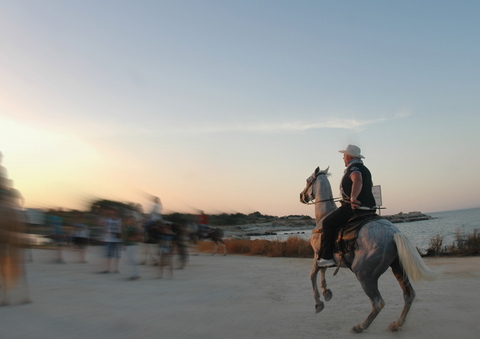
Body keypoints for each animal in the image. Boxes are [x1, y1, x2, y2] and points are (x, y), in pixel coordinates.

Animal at [300, 167, 438, 334]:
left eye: (308, 180)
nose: (302, 196)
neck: (324, 216)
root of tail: (393, 233)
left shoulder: (317, 255)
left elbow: (313, 275)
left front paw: (318, 302)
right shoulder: (324, 257)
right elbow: (322, 271)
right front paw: (326, 293)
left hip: (364, 274)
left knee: (378, 303)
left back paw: (360, 326)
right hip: (397, 268)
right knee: (409, 295)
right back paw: (396, 324)